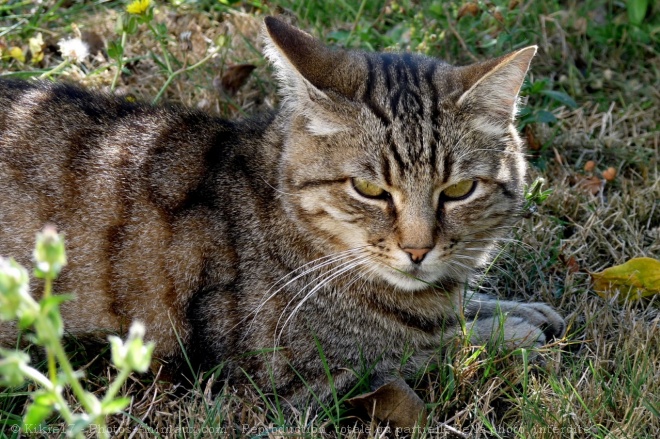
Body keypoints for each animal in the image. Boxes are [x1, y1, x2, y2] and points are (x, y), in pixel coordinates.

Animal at [0, 16, 568, 410]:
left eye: (459, 190)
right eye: (368, 189)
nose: (417, 250)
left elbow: (464, 310)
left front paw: (518, 309)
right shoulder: (296, 374)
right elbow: (429, 345)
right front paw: (515, 333)